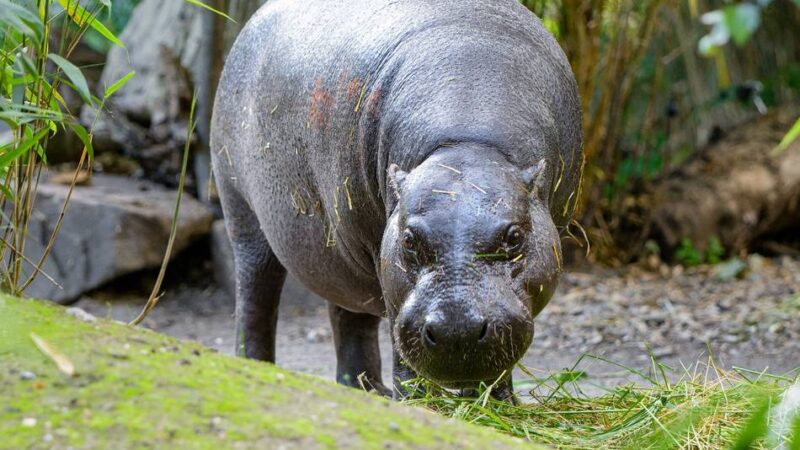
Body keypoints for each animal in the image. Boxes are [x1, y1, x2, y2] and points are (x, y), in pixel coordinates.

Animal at [211, 0, 583, 399]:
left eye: (514, 237)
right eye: (408, 239)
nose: (457, 330)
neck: (468, 144)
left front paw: (495, 403)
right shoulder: (382, 253)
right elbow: (397, 336)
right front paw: (418, 402)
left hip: (340, 248)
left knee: (349, 317)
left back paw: (369, 392)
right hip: (245, 217)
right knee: (255, 298)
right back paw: (255, 369)